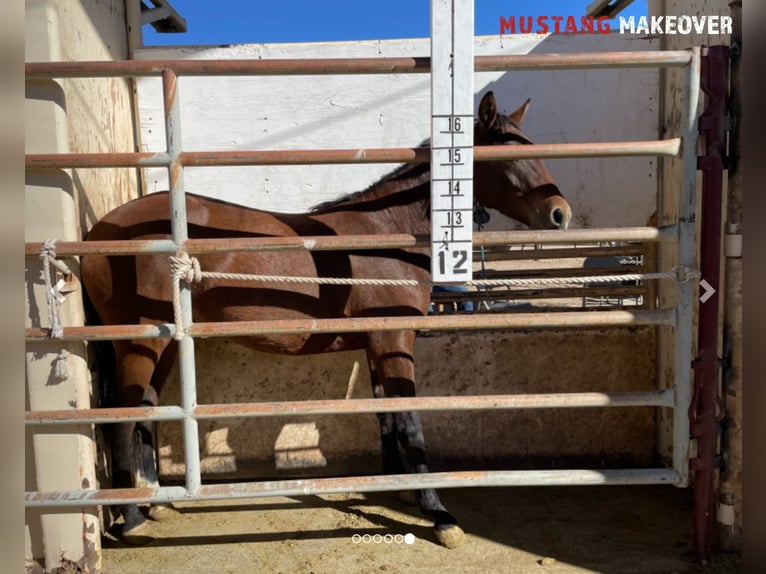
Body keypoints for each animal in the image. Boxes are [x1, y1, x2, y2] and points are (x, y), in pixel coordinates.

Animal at [81, 92, 568, 552]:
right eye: (504, 155)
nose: (559, 213)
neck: (386, 235)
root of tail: (100, 230)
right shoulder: (394, 341)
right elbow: (410, 421)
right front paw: (438, 514)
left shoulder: (375, 344)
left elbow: (386, 417)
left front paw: (399, 490)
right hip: (141, 342)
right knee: (123, 416)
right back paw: (133, 518)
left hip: (161, 344)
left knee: (147, 409)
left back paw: (156, 504)